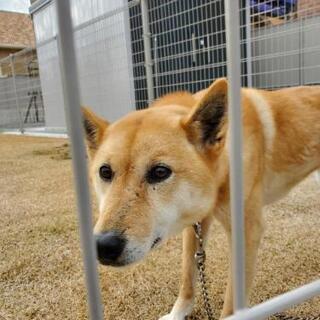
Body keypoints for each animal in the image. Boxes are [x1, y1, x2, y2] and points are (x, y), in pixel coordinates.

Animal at [81, 78, 318, 320]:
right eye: (105, 172)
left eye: (160, 172)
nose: (103, 246)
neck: (224, 163)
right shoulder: (194, 223)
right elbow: (188, 275)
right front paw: (177, 313)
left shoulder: (247, 232)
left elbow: (232, 305)